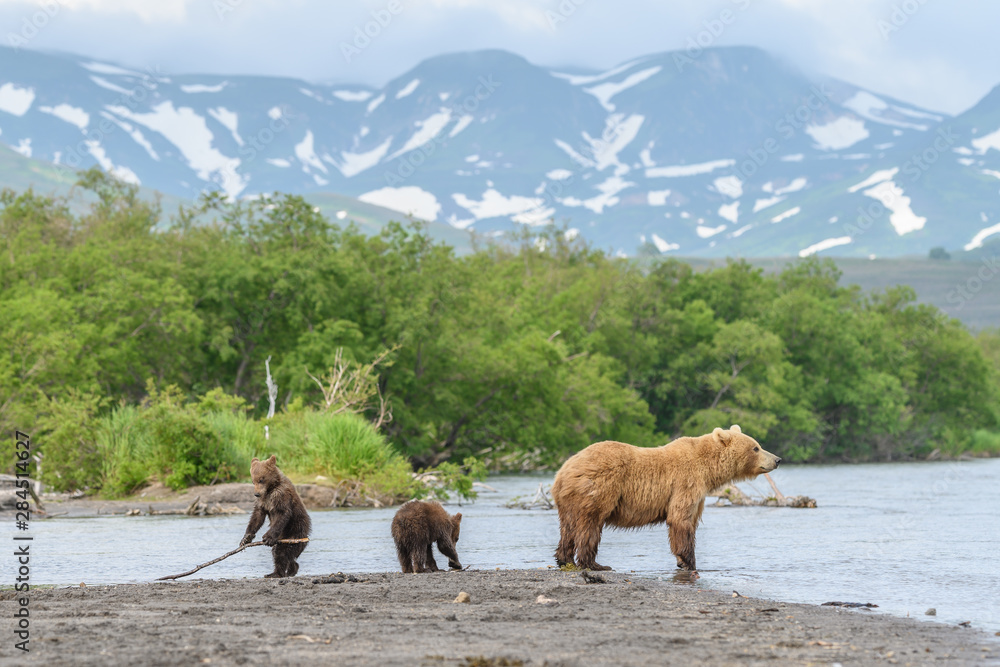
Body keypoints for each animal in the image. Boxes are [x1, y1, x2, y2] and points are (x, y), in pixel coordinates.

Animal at [551, 425, 780, 572]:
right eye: (756, 447)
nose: (777, 459)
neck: (708, 470)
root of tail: (564, 470)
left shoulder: (699, 492)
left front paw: (682, 561)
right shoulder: (686, 482)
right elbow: (681, 520)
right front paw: (689, 562)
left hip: (569, 498)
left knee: (568, 526)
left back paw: (565, 559)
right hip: (599, 488)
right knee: (590, 524)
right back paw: (595, 564)